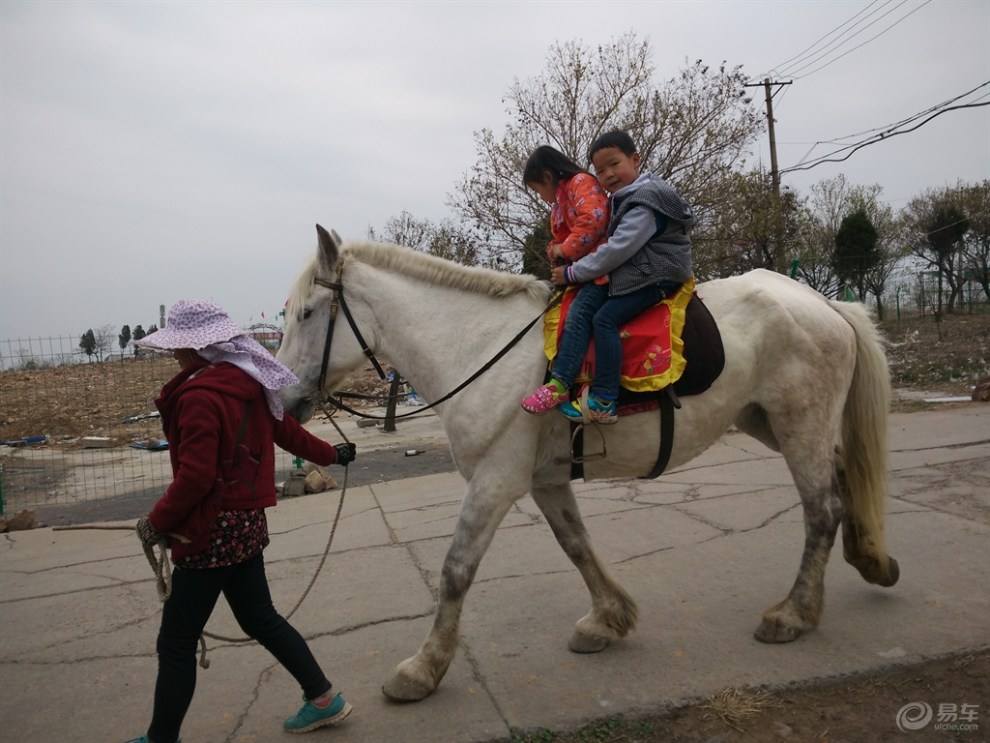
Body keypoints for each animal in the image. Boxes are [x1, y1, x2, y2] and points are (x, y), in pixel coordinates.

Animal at [278, 225, 900, 704]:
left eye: (307, 313)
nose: (282, 399)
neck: (478, 347)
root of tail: (822, 302)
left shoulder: (495, 482)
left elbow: (456, 570)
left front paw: (423, 669)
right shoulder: (544, 481)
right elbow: (575, 545)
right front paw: (610, 618)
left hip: (799, 425)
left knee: (821, 509)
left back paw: (794, 613)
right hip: (770, 423)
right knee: (842, 477)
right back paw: (869, 557)